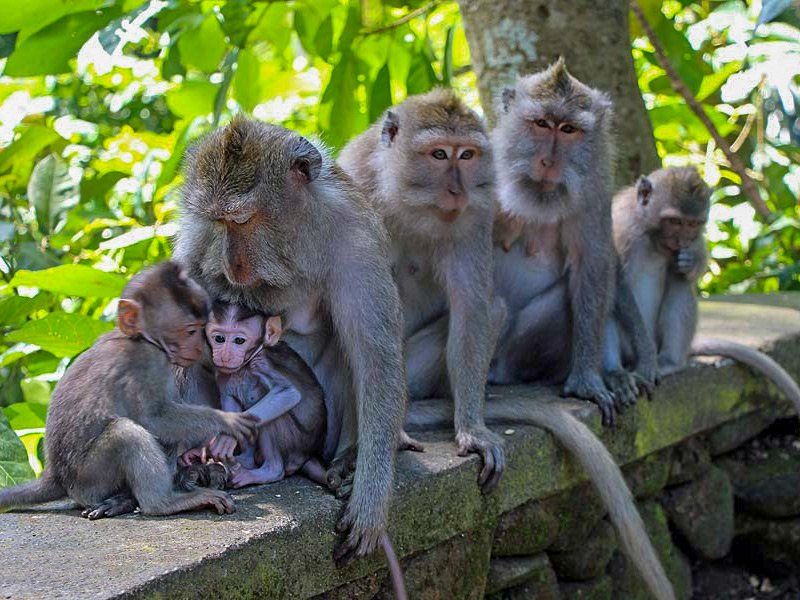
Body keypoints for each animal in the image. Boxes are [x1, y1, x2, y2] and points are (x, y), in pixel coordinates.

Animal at [0, 261, 259, 519]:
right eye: (191, 331)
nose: (201, 347)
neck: (140, 338)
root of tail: (56, 476)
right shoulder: (149, 362)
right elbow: (155, 418)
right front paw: (227, 421)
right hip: (90, 477)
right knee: (127, 434)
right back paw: (163, 502)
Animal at [179, 301, 329, 488]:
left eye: (239, 341)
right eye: (219, 338)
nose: (226, 356)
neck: (245, 366)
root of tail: (309, 454)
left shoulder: (262, 363)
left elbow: (288, 393)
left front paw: (224, 440)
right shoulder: (224, 373)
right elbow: (230, 399)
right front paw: (209, 445)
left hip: (298, 443)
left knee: (273, 417)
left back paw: (267, 472)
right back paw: (246, 460)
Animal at [338, 88, 507, 492]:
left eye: (467, 155)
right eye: (439, 154)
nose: (457, 190)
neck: (406, 201)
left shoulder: (477, 212)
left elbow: (472, 308)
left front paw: (473, 429)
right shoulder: (351, 187)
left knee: (493, 309)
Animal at [490, 57, 657, 426]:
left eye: (568, 130)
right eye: (541, 123)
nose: (549, 162)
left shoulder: (594, 187)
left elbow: (594, 264)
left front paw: (587, 381)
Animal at [610, 166, 800, 415]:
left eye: (693, 224)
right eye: (674, 221)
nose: (681, 241)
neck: (649, 234)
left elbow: (693, 260)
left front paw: (690, 260)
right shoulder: (621, 229)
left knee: (680, 281)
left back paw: (669, 361)